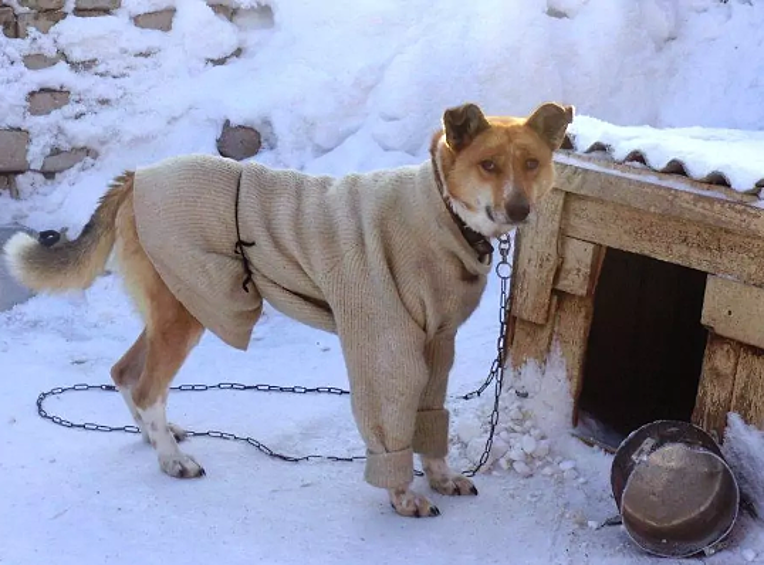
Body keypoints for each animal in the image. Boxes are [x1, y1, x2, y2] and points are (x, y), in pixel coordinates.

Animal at [1, 101, 572, 516]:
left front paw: (442, 477)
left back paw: (152, 435)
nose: (520, 208)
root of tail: (138, 174)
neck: (440, 209)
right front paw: (403, 496)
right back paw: (172, 460)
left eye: (532, 163)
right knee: (145, 386)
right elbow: (392, 428)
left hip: (176, 306)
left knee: (125, 373)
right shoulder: (385, 349)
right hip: (188, 309)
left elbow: (431, 423)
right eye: (488, 165)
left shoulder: (438, 345)